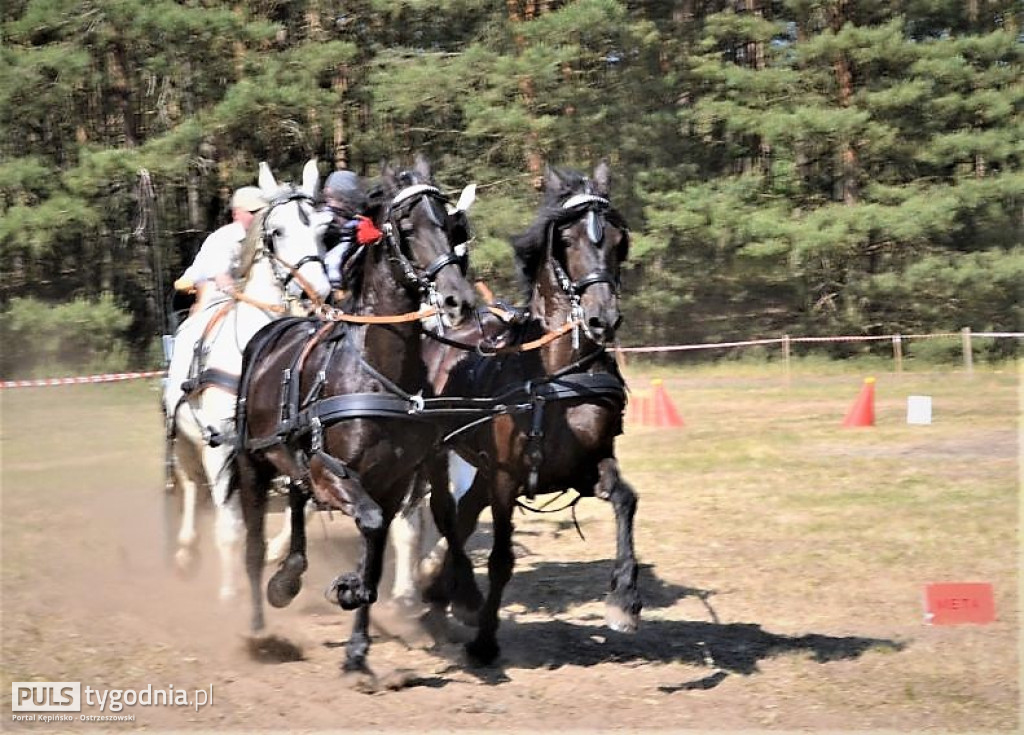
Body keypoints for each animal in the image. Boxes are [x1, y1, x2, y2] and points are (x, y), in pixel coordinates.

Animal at [164, 158, 327, 601]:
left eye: (323, 229)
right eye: (277, 231)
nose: (319, 291)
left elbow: (302, 504)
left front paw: (280, 561)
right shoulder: (219, 443)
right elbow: (230, 525)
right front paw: (229, 593)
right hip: (185, 439)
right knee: (189, 486)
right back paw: (185, 551)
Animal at [235, 156, 479, 692]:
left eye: (451, 225)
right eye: (407, 228)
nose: (458, 302)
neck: (376, 368)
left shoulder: (395, 479)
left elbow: (382, 538)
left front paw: (358, 650)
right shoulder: (333, 470)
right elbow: (368, 526)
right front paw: (348, 588)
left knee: (298, 506)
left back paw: (290, 577)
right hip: (252, 464)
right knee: (254, 544)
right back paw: (259, 630)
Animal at [417, 162, 638, 667]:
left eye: (619, 240)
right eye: (568, 239)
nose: (602, 318)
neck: (555, 376)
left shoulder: (585, 467)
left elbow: (626, 500)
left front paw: (624, 600)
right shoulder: (506, 477)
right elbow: (501, 559)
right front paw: (484, 641)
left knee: (462, 514)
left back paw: (441, 591)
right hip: (441, 455)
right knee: (447, 513)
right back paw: (455, 593)